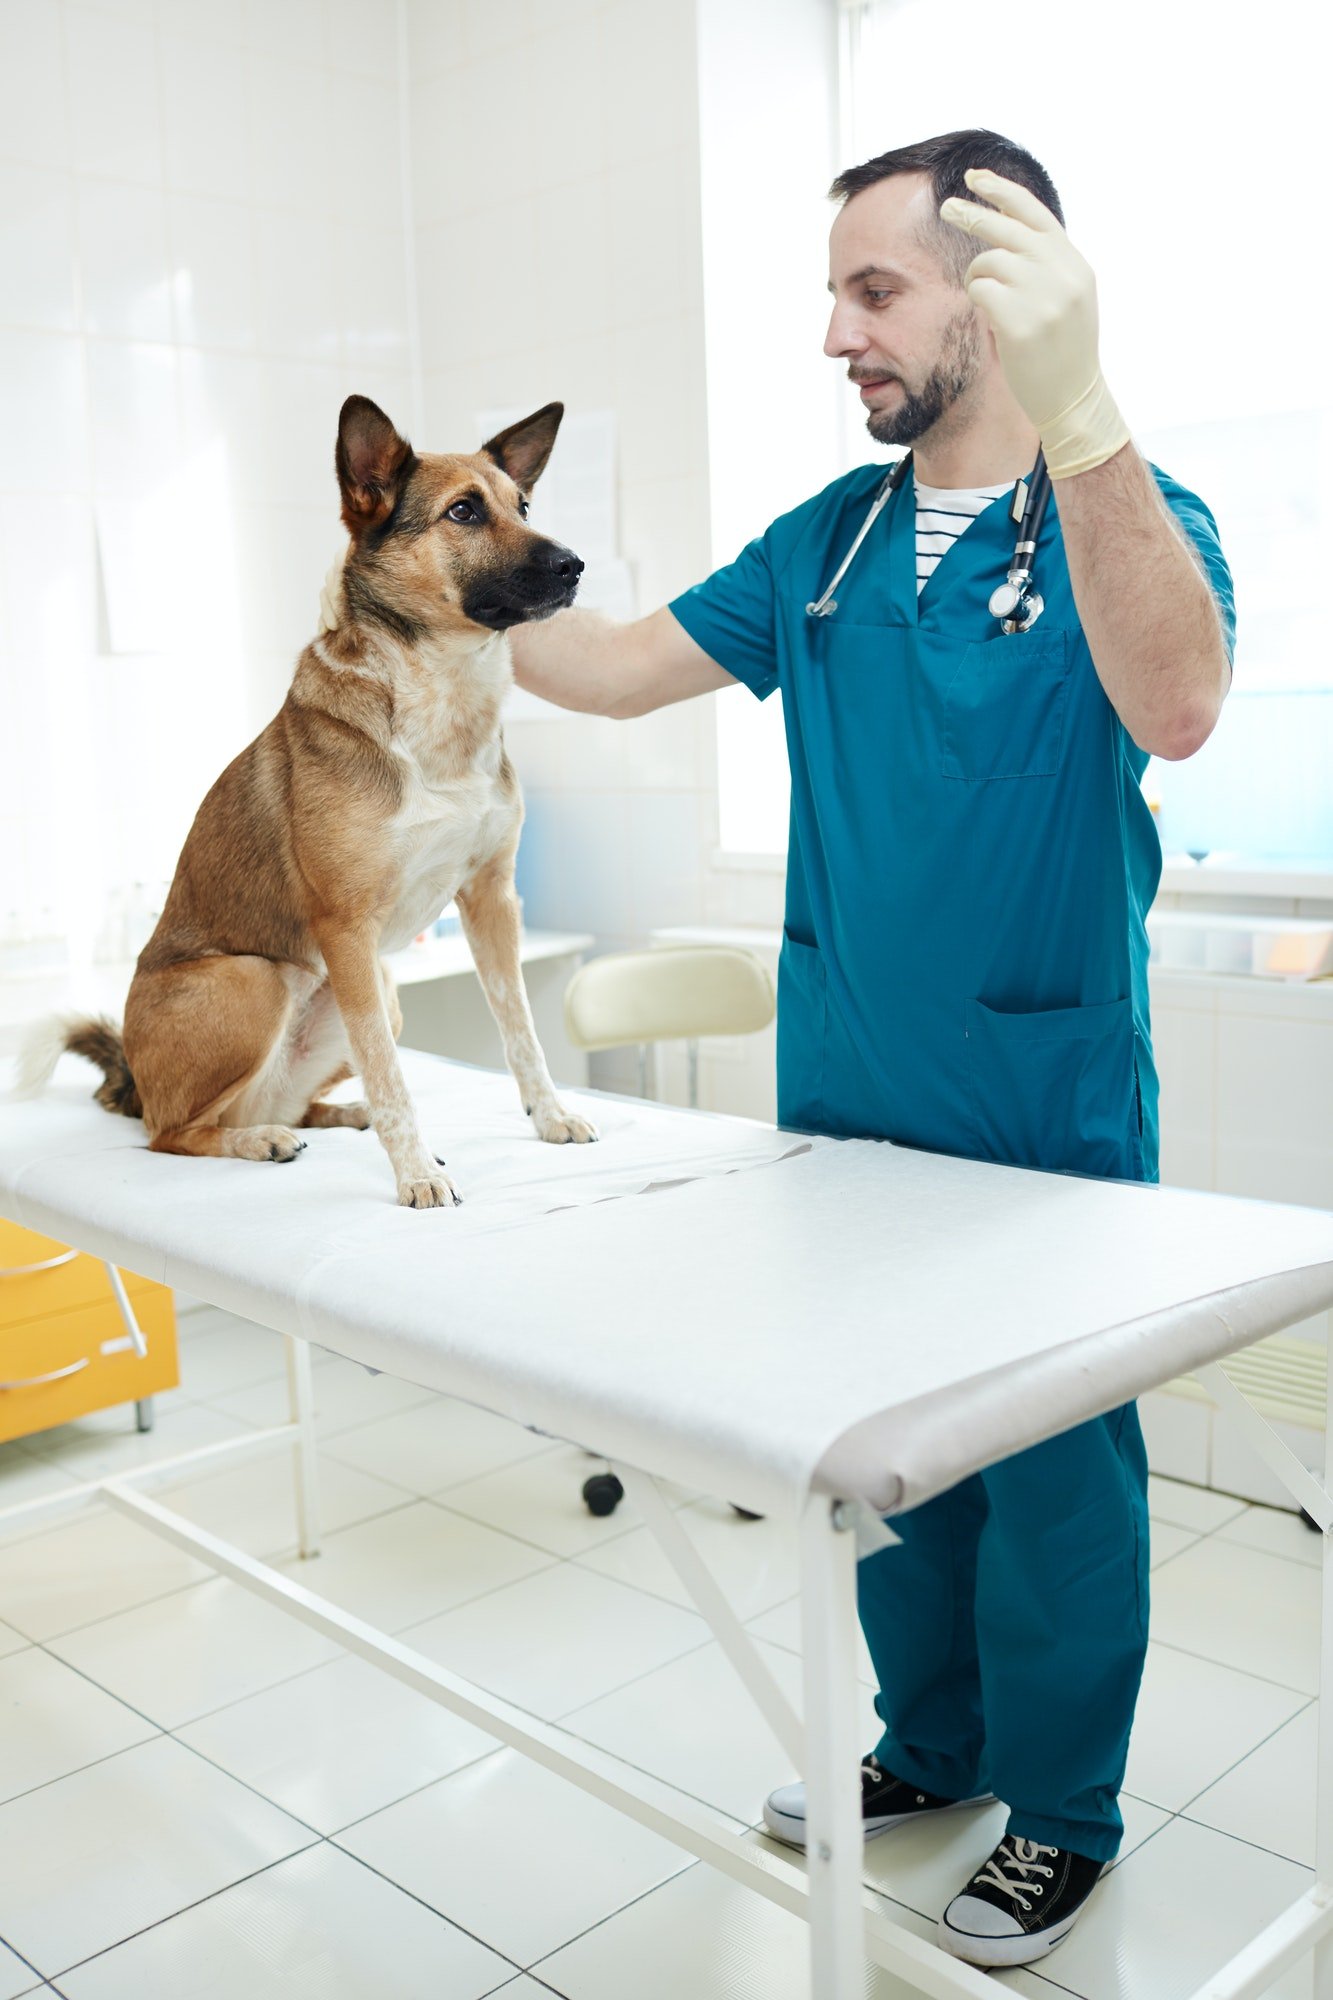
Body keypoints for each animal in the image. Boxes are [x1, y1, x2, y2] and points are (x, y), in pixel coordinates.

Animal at [23, 395, 599, 1207]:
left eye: (524, 506)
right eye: (463, 511)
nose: (576, 565)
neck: (444, 702)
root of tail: (133, 1082)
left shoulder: (491, 900)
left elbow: (520, 1031)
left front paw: (549, 1117)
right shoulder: (347, 927)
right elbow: (393, 1076)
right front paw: (416, 1176)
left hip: (381, 988)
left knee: (281, 1102)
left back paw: (330, 1115)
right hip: (257, 978)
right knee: (172, 1133)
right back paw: (258, 1140)